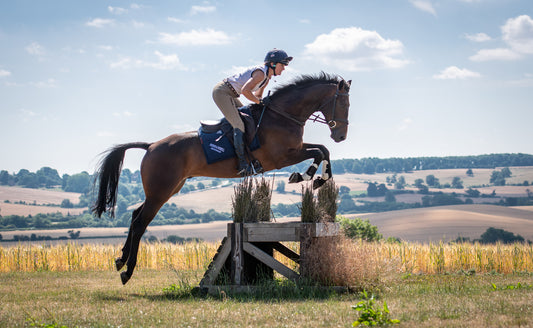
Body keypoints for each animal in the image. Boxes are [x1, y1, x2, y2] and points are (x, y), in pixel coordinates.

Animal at [91, 72, 350, 284]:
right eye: (343, 103)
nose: (341, 136)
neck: (282, 116)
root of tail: (151, 145)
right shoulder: (282, 156)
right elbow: (319, 151)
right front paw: (304, 176)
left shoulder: (295, 149)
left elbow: (323, 150)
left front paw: (317, 179)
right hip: (160, 191)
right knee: (140, 223)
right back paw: (127, 271)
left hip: (168, 188)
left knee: (136, 214)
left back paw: (120, 260)